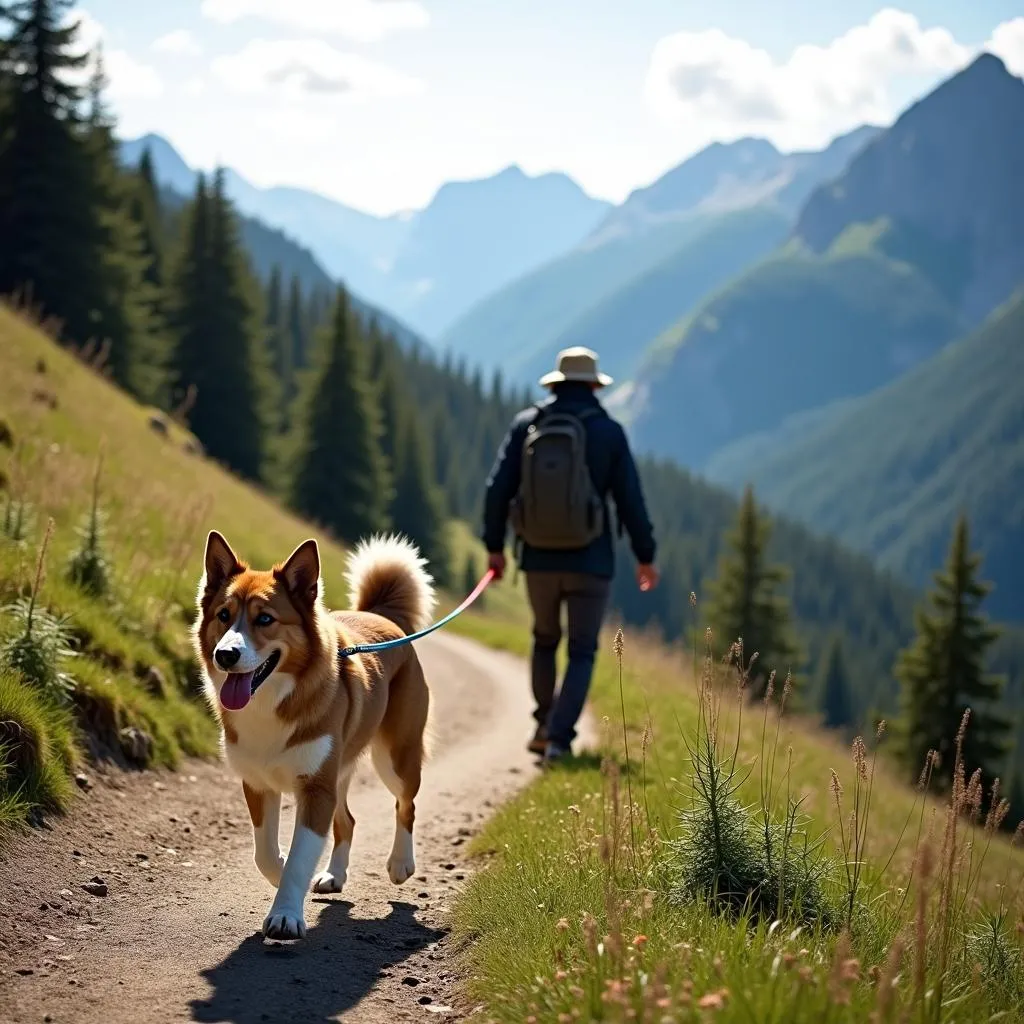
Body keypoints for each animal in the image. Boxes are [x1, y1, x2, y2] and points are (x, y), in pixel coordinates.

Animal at [193, 532, 434, 937]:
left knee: (407, 804)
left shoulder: (316, 789)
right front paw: (281, 871)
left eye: (265, 619)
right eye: (223, 615)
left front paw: (285, 915)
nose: (225, 654)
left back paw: (401, 863)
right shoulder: (258, 784)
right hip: (340, 771)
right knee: (348, 821)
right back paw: (334, 875)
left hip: (395, 758)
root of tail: (381, 615)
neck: (272, 701)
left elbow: (299, 857)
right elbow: (264, 853)